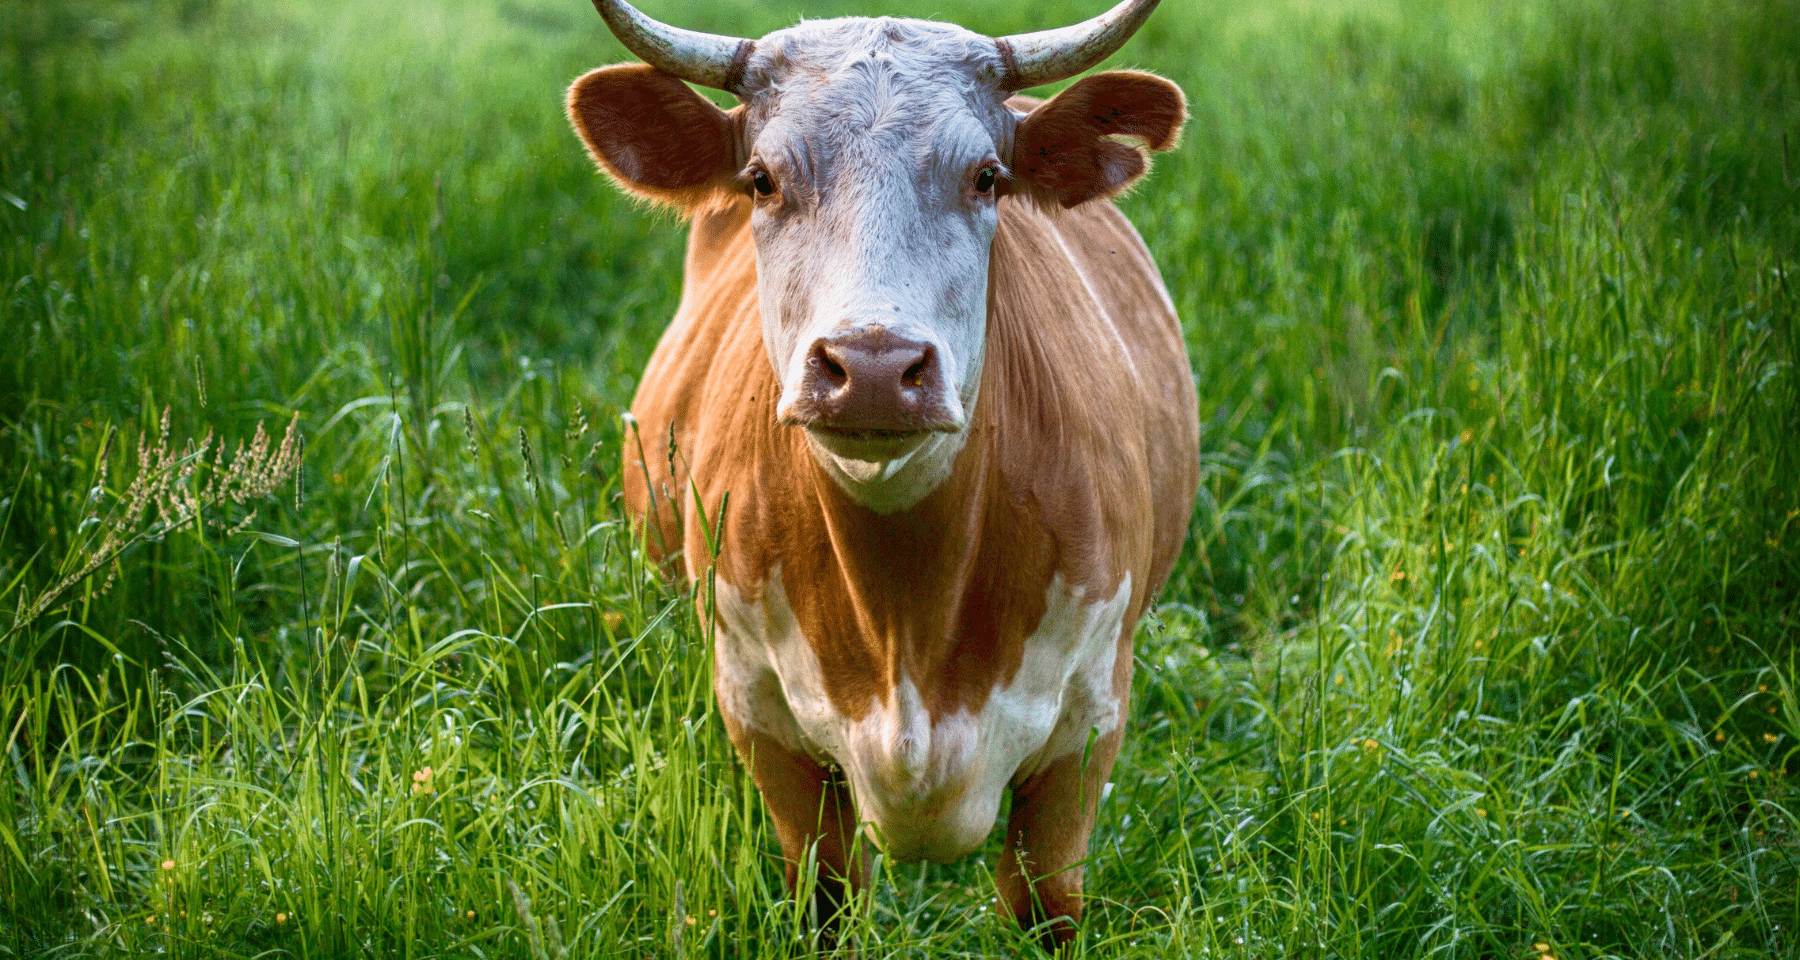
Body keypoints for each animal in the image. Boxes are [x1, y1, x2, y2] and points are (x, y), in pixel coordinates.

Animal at [566, 0, 1199, 948]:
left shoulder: (1090, 721)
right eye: (761, 179)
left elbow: (1045, 906)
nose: (871, 367)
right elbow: (826, 897)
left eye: (987, 177)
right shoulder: (760, 713)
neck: (908, 615)